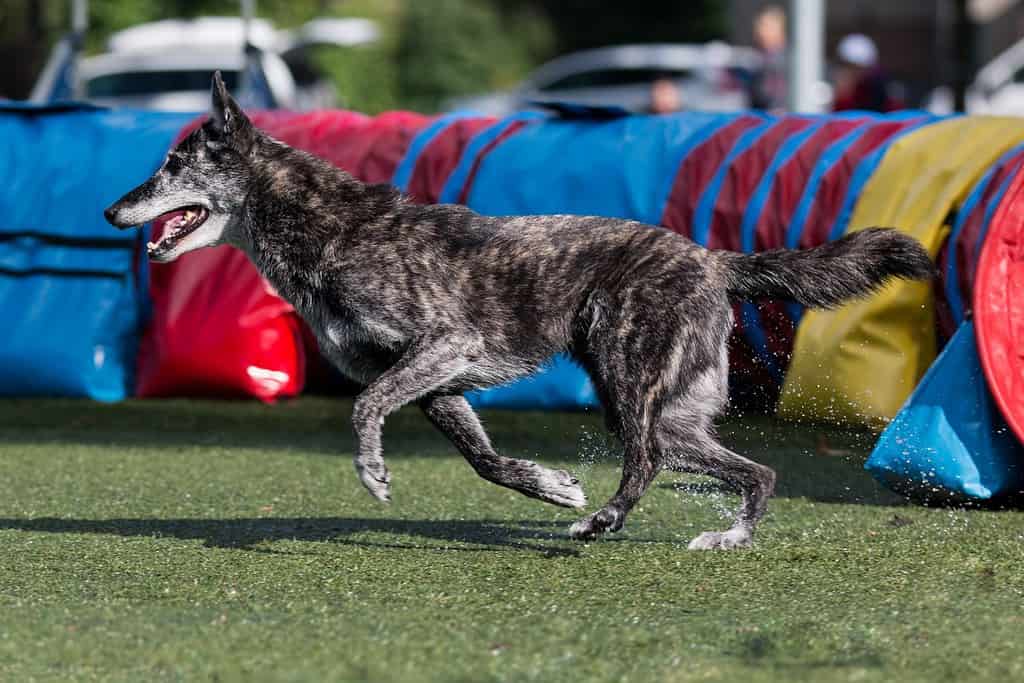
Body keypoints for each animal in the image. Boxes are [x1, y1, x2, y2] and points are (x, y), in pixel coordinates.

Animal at [105, 73, 937, 548]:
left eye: (172, 166)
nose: (113, 208)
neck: (331, 227)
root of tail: (710, 258)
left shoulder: (445, 343)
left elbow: (365, 408)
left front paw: (373, 473)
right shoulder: (439, 384)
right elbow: (485, 460)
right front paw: (550, 484)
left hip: (628, 380)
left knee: (646, 459)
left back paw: (604, 522)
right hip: (673, 410)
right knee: (755, 471)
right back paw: (725, 537)